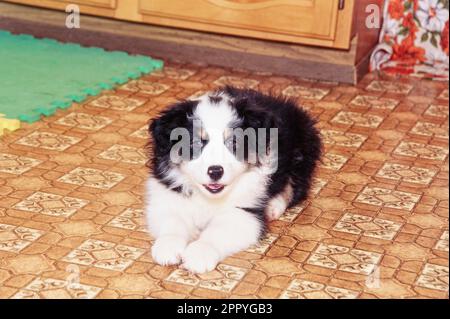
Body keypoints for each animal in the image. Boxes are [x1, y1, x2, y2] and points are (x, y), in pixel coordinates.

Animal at [144, 86, 320, 274]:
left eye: (234, 143)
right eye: (195, 143)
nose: (215, 171)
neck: (209, 198)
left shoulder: (244, 213)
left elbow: (217, 231)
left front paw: (199, 254)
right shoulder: (167, 192)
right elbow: (173, 220)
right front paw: (167, 246)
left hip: (302, 153)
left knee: (295, 187)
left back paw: (273, 206)